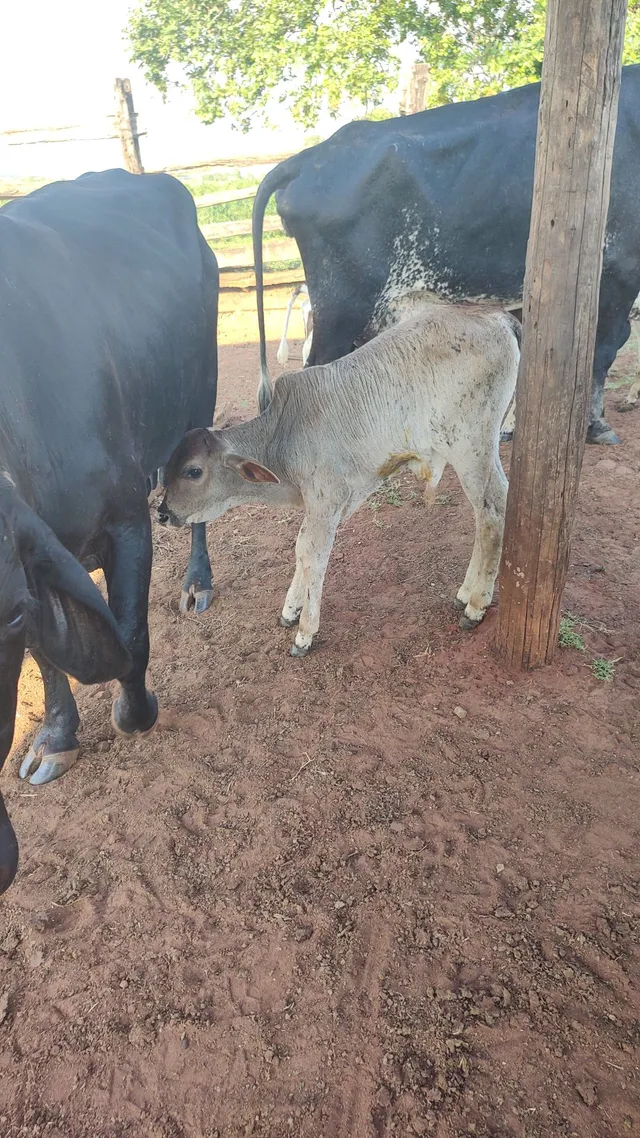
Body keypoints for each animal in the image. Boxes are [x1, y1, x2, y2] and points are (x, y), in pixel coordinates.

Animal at [0, 168, 219, 894]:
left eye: (6, 615)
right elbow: (52, 658)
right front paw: (56, 739)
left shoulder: (125, 521)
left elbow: (131, 637)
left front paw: (138, 713)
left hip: (197, 400)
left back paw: (198, 583)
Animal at [159, 303, 519, 659]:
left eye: (193, 471)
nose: (162, 512)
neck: (282, 433)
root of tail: (495, 316)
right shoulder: (323, 503)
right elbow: (300, 547)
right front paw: (290, 610)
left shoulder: (327, 498)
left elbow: (312, 554)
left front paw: (305, 633)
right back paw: (465, 592)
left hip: (471, 447)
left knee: (491, 513)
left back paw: (475, 605)